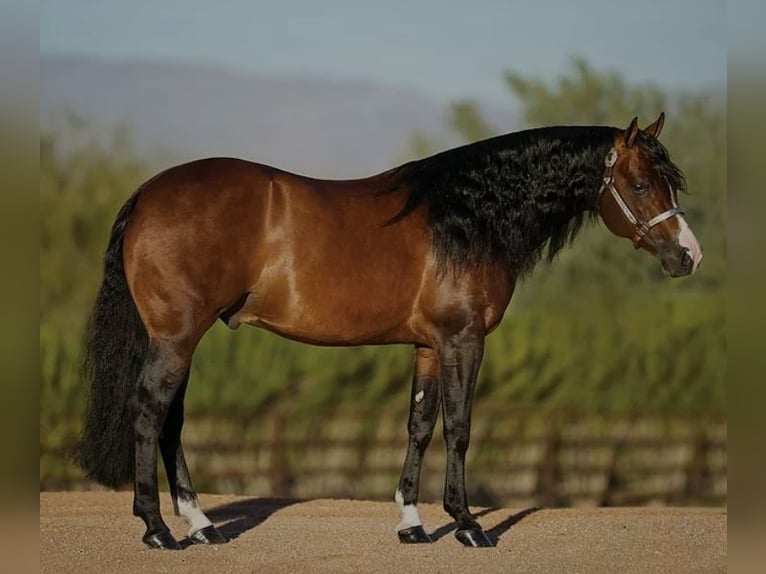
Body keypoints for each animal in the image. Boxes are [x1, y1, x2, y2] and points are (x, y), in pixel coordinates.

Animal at [76, 115, 704, 552]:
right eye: (640, 183)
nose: (688, 256)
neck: (467, 216)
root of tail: (148, 194)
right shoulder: (463, 341)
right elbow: (459, 428)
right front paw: (467, 524)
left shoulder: (428, 345)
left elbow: (420, 426)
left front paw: (412, 522)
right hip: (177, 337)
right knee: (150, 413)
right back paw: (159, 529)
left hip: (181, 340)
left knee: (171, 422)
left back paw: (202, 524)